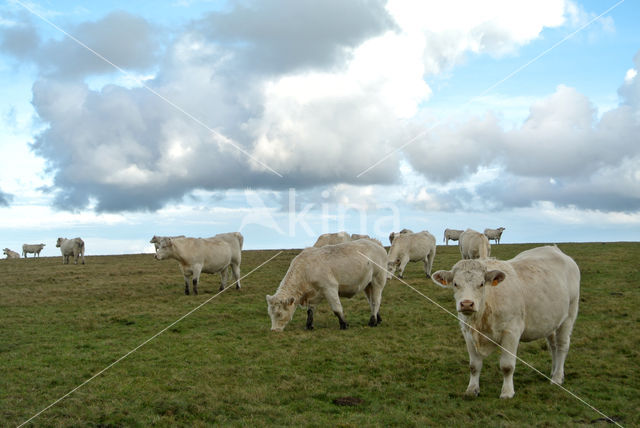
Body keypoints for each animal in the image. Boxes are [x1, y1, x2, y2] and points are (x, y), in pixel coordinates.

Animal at [430, 246, 580, 400]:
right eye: (455, 283)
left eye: (481, 283)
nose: (466, 304)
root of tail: (554, 249)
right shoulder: (467, 333)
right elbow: (474, 365)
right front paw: (472, 389)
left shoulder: (511, 332)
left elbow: (507, 366)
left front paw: (507, 392)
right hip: (551, 322)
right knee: (553, 346)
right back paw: (553, 372)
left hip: (569, 315)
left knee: (562, 346)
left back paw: (557, 377)